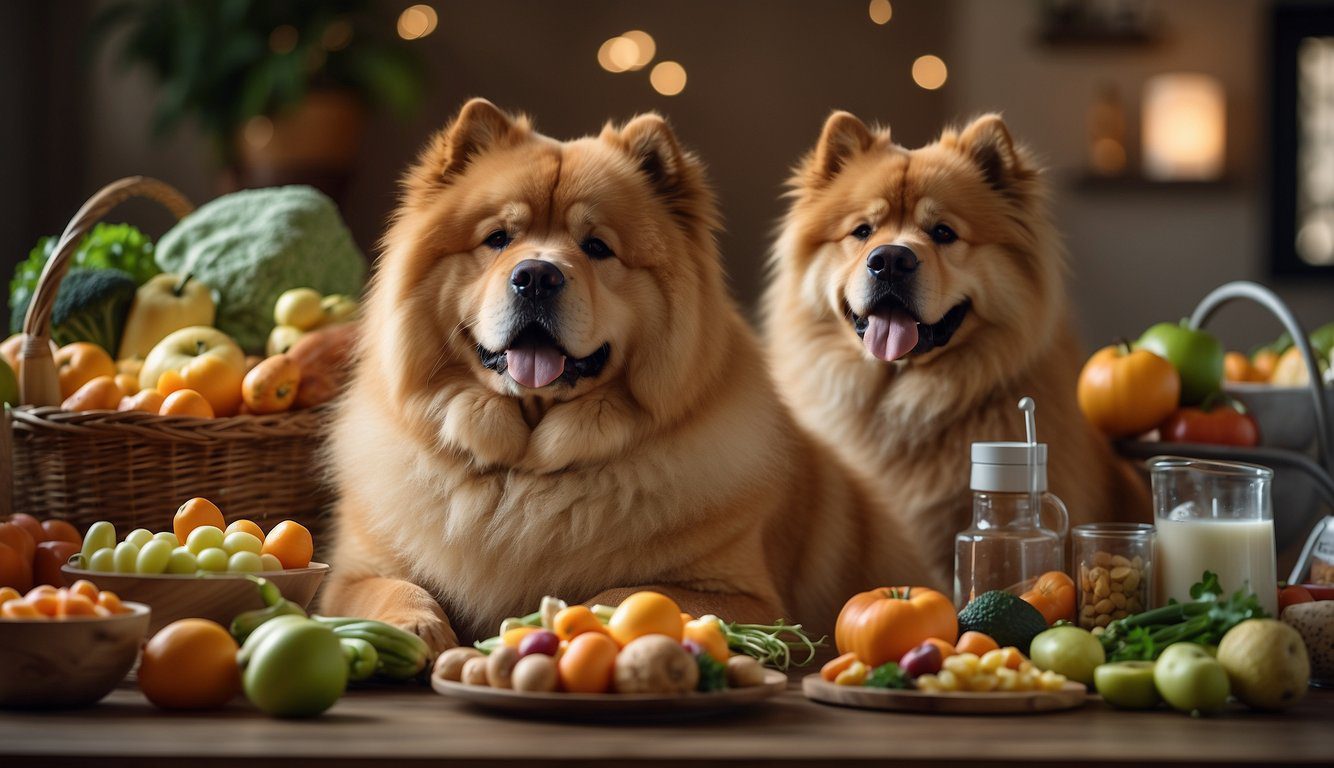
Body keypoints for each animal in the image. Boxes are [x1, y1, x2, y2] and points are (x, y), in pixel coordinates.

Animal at [320, 98, 939, 650]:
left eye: (597, 248)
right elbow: (383, 587)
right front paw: (410, 625)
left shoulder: (749, 599)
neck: (526, 471)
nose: (536, 275)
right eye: (498, 239)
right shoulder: (349, 572)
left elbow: (627, 593)